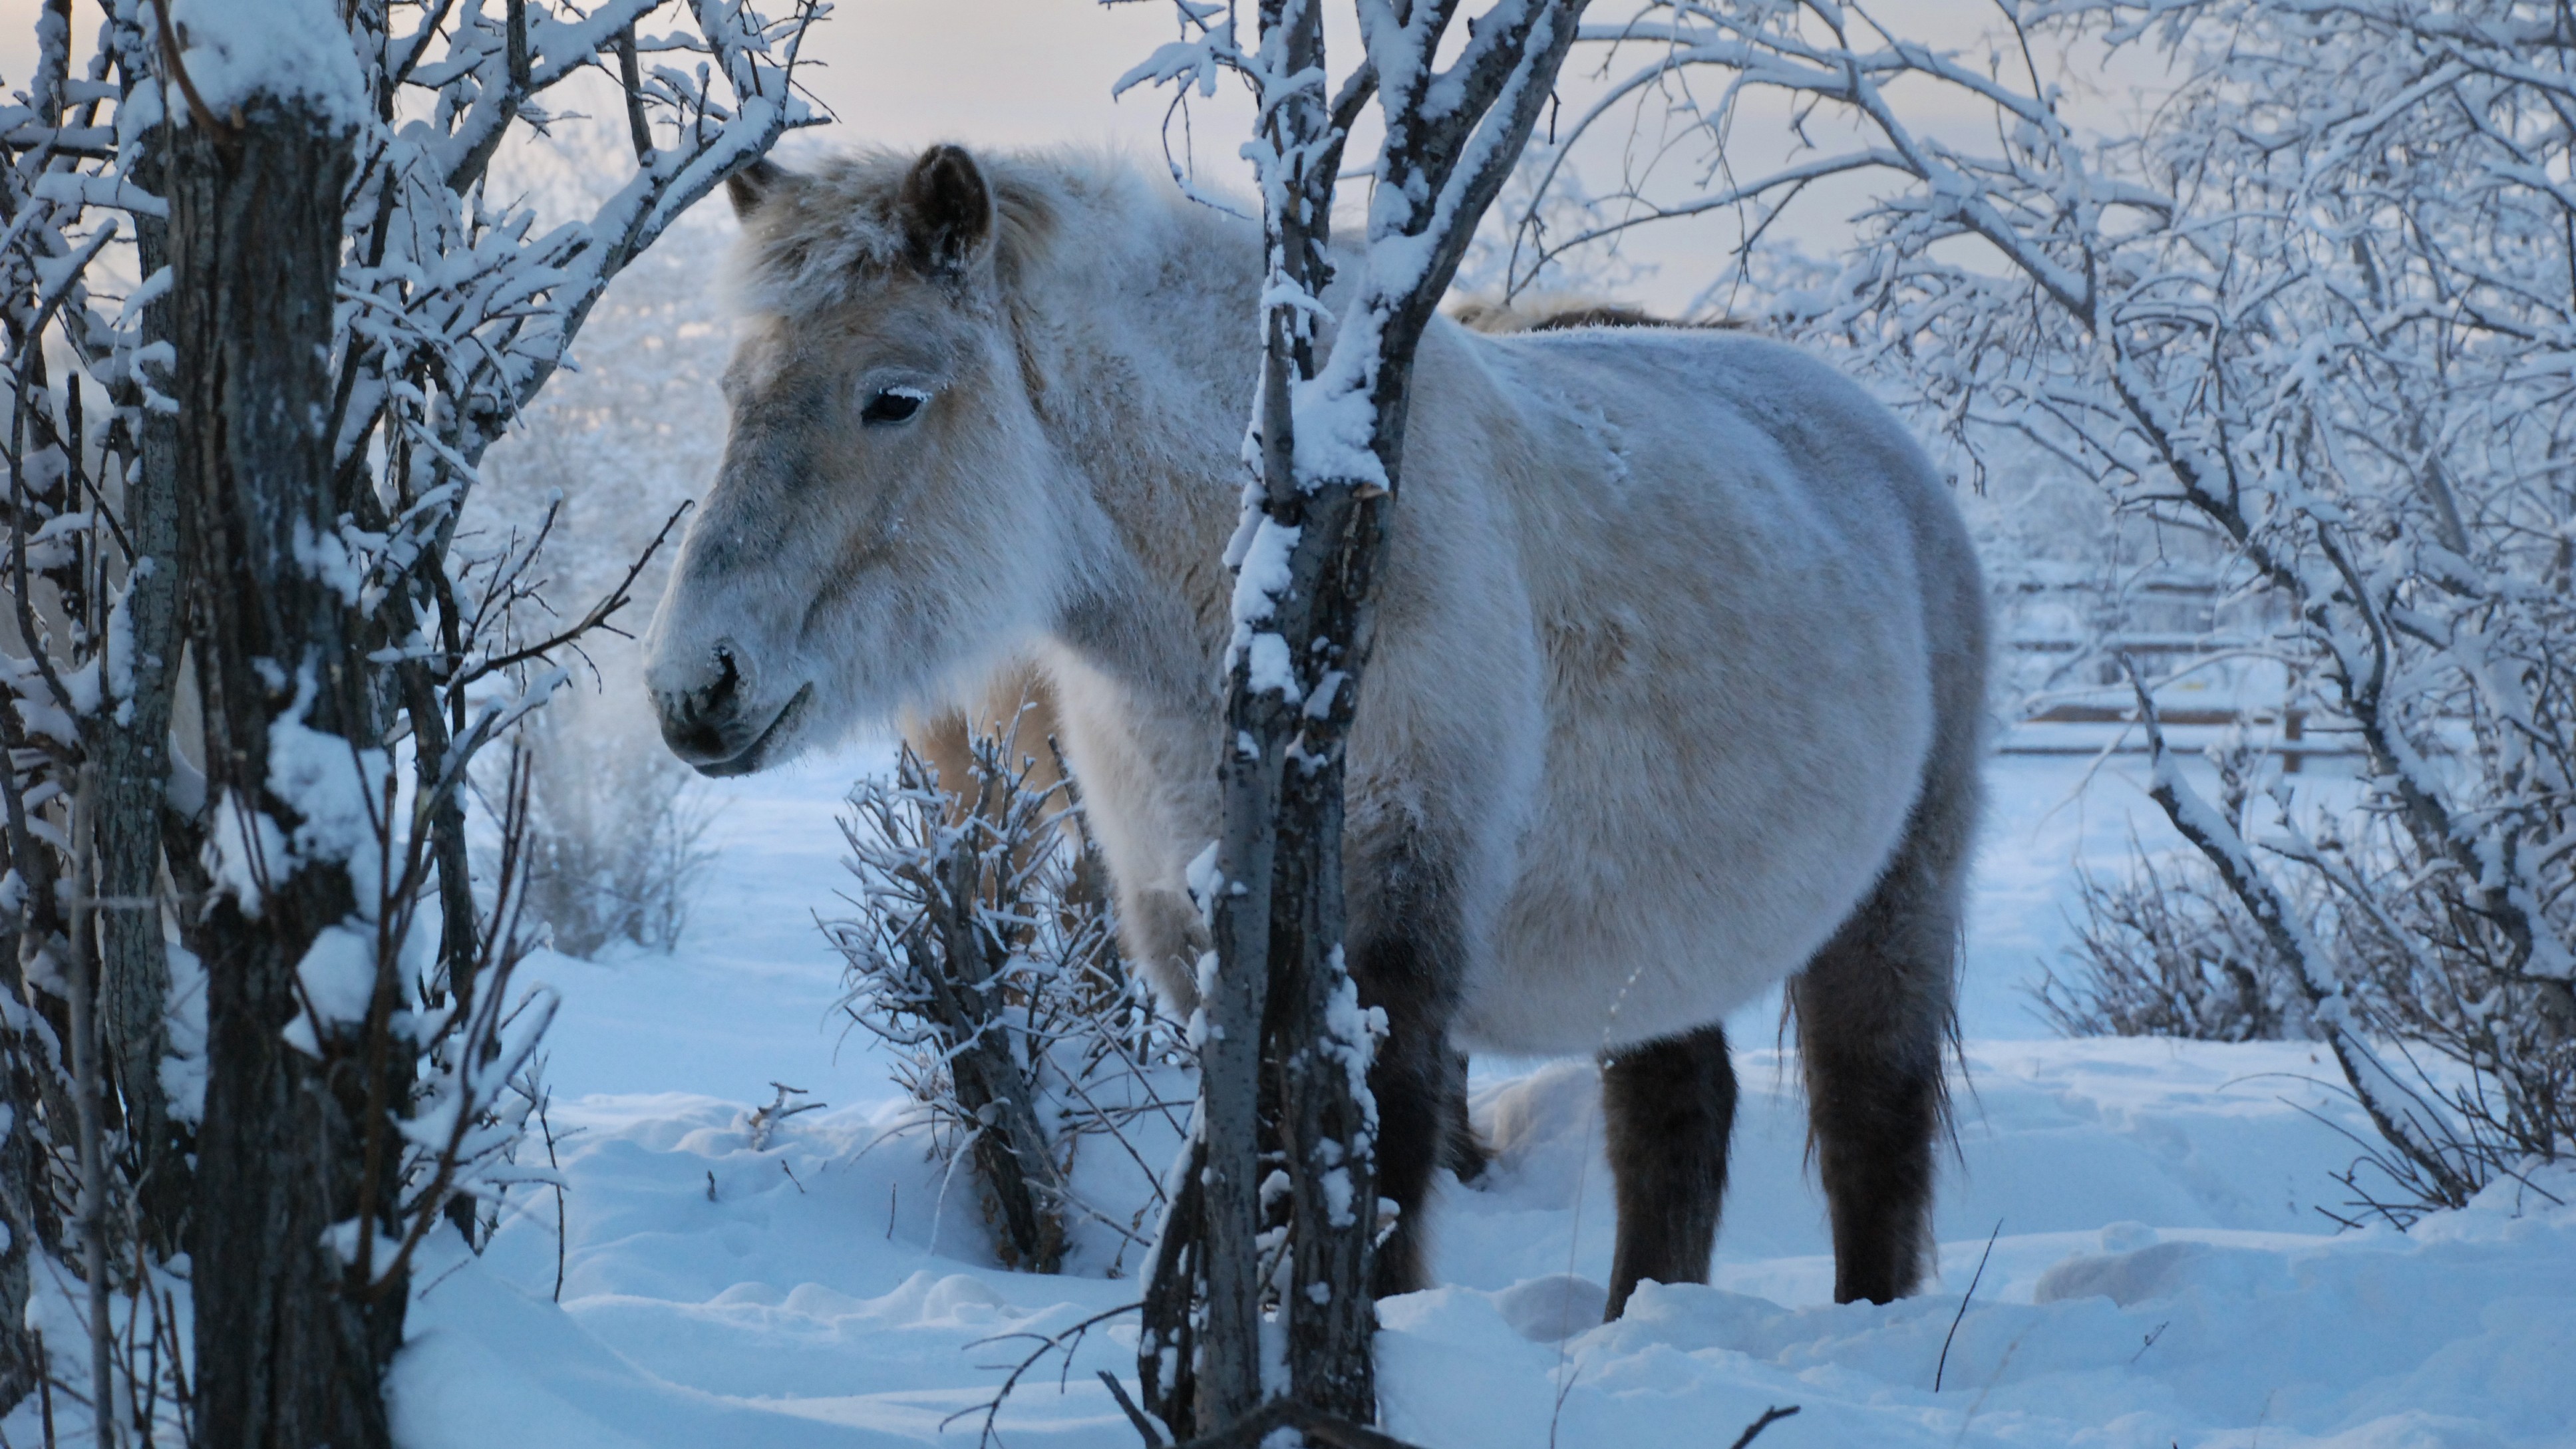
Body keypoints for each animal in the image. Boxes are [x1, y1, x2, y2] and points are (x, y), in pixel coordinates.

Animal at [643, 143, 1987, 1317]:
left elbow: (1368, 1199)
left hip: (1894, 903)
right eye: (730, 394)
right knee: (1675, 1119)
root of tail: (1886, 446)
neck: (1276, 588)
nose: (694, 684)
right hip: (1651, 940)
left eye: (894, 398)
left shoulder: (1387, 942)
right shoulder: (1195, 943)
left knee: (1870, 1123)